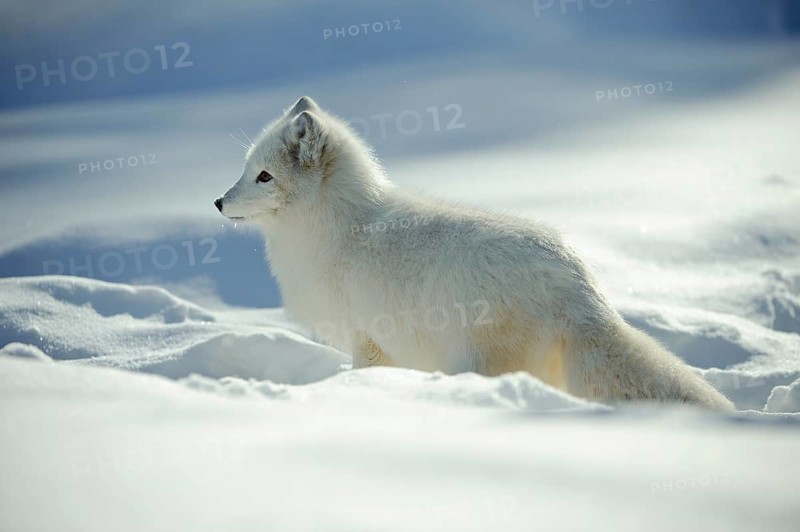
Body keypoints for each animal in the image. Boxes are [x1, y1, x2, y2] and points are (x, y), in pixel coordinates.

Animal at [215, 96, 734, 410]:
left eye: (264, 176)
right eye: (245, 170)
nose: (218, 202)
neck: (339, 229)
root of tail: (579, 285)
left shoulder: (371, 342)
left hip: (476, 361)